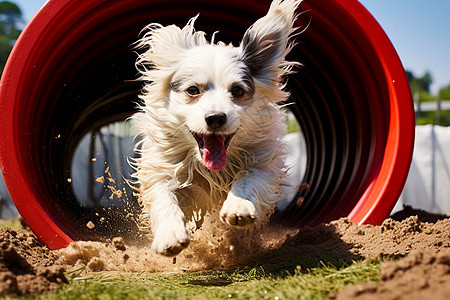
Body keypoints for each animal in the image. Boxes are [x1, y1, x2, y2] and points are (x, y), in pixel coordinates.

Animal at [133, 0, 302, 256]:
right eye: (192, 90)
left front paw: (239, 205)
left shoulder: (264, 160)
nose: (215, 118)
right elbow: (163, 196)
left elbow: (250, 178)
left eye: (238, 91)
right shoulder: (161, 167)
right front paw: (170, 234)